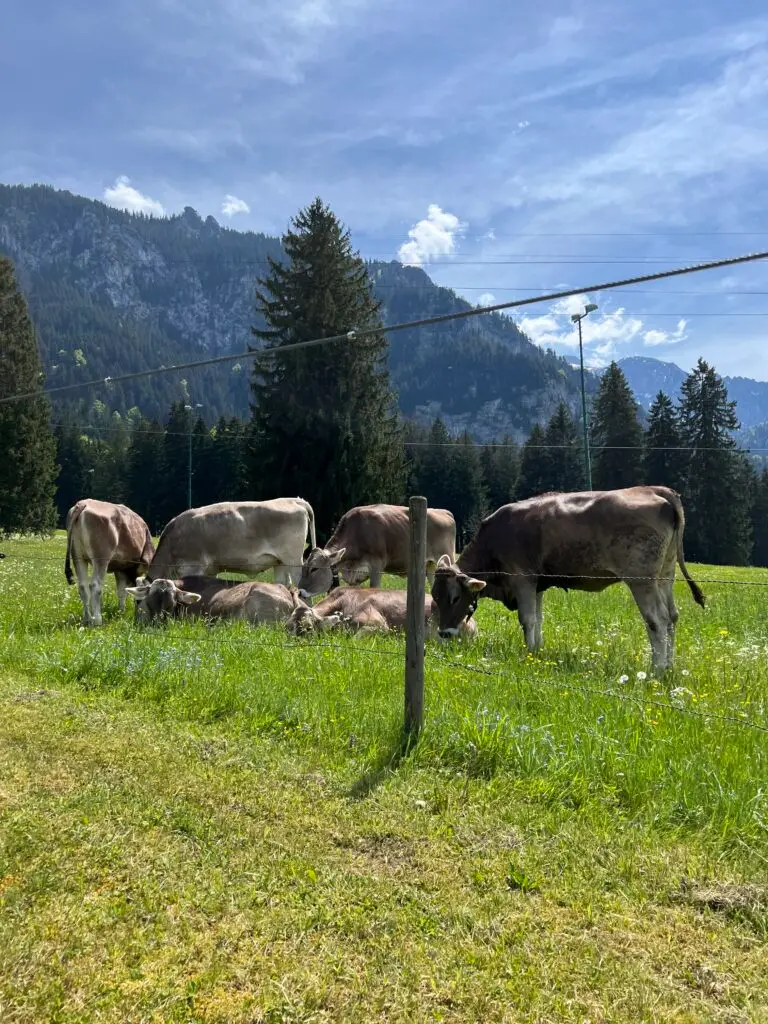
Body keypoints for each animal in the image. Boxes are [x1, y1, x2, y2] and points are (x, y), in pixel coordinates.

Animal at [297, 504, 456, 598]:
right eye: (303, 567)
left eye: (314, 569)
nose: (299, 592)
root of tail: (444, 512)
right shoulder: (354, 576)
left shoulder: (376, 566)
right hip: (430, 565)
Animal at [430, 486, 705, 673]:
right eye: (434, 597)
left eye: (455, 598)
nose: (443, 633)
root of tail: (655, 489)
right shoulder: (537, 584)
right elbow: (538, 619)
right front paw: (537, 651)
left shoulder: (522, 578)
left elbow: (527, 619)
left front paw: (528, 653)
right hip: (665, 575)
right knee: (672, 617)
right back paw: (668, 667)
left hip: (641, 579)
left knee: (657, 620)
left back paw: (655, 671)